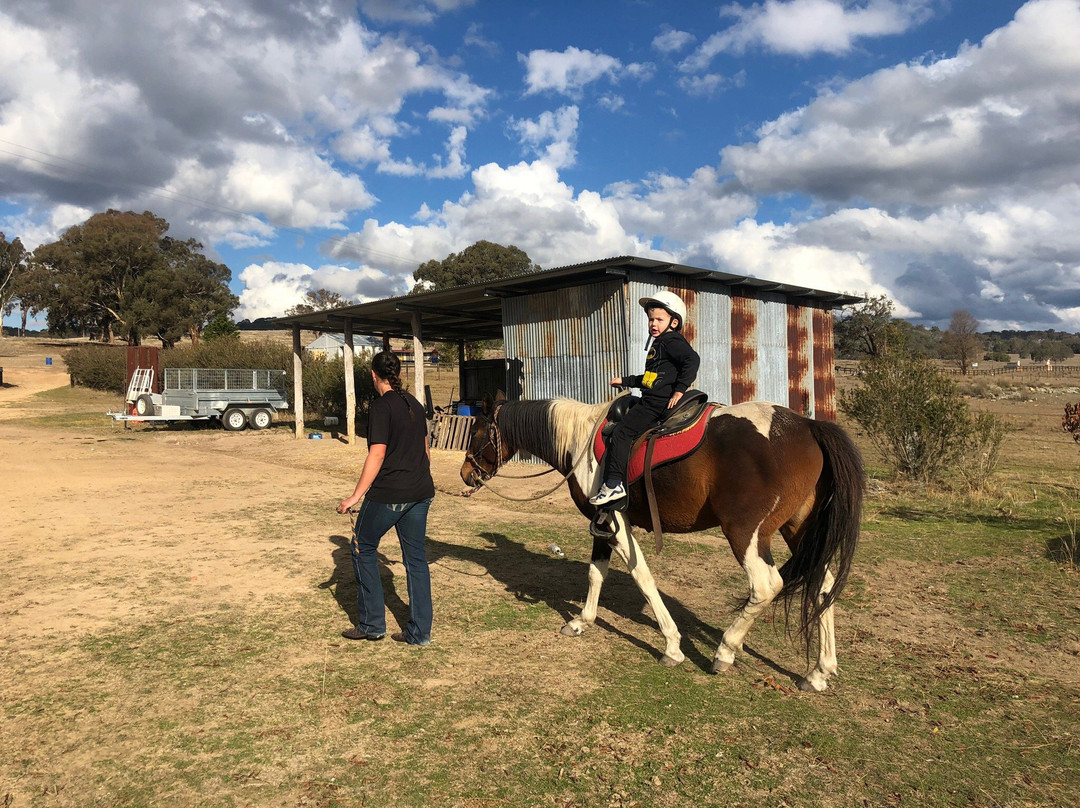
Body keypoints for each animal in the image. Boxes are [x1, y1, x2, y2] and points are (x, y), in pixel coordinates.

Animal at [460, 395, 864, 691]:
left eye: (477, 432)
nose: (465, 474)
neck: (583, 441)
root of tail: (808, 426)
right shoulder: (603, 524)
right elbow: (596, 574)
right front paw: (581, 622)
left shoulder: (616, 525)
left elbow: (642, 578)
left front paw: (671, 645)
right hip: (799, 531)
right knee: (823, 584)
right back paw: (819, 672)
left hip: (746, 533)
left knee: (766, 586)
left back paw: (725, 652)